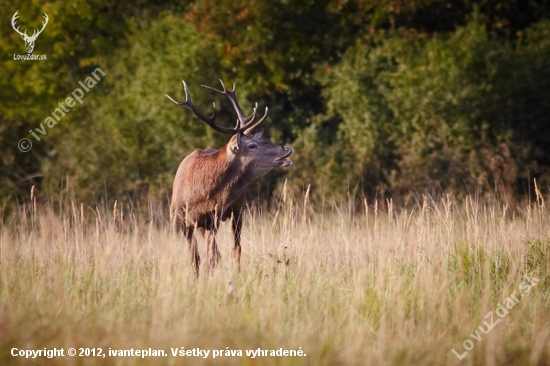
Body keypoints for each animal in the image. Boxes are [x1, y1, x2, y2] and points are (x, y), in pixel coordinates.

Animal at [167, 80, 294, 274]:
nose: (287, 149)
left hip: (236, 210)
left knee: (235, 248)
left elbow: (213, 256)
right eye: (252, 145)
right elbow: (195, 259)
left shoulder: (215, 216)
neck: (200, 196)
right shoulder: (182, 220)